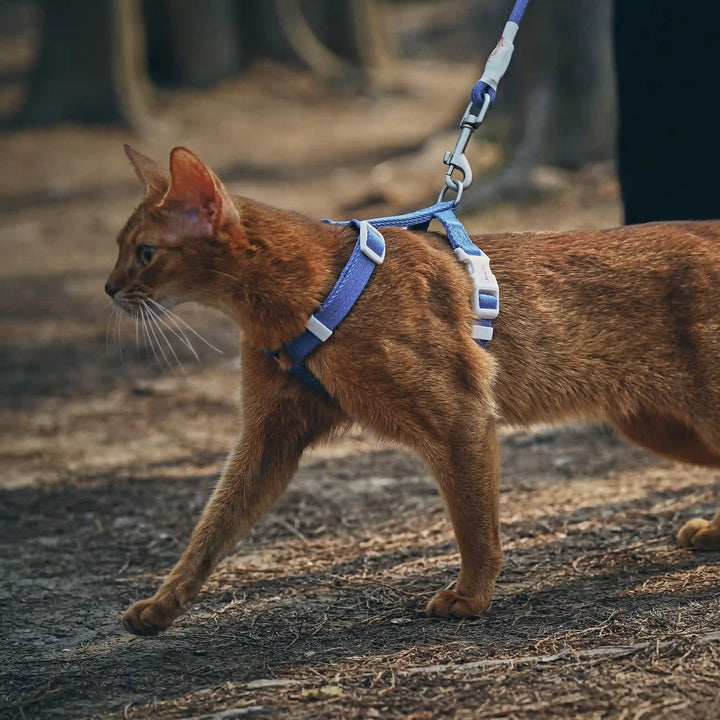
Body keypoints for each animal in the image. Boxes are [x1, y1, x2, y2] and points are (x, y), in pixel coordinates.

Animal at [108, 145, 720, 636]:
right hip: (657, 425)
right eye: (118, 248)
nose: (111, 288)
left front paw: (470, 597)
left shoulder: (459, 415)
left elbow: (473, 523)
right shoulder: (269, 434)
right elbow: (212, 526)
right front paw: (162, 605)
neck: (308, 292)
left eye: (145, 253)